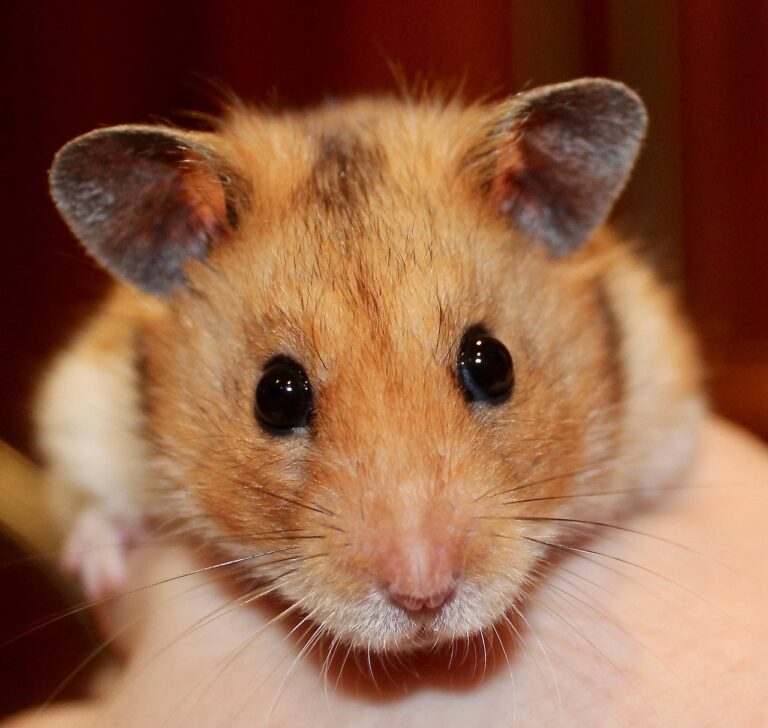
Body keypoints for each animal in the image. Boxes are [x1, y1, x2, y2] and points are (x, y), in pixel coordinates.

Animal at [37, 78, 703, 653]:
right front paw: (99, 569)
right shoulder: (82, 409)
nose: (424, 599)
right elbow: (92, 503)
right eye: (275, 395)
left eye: (493, 363)